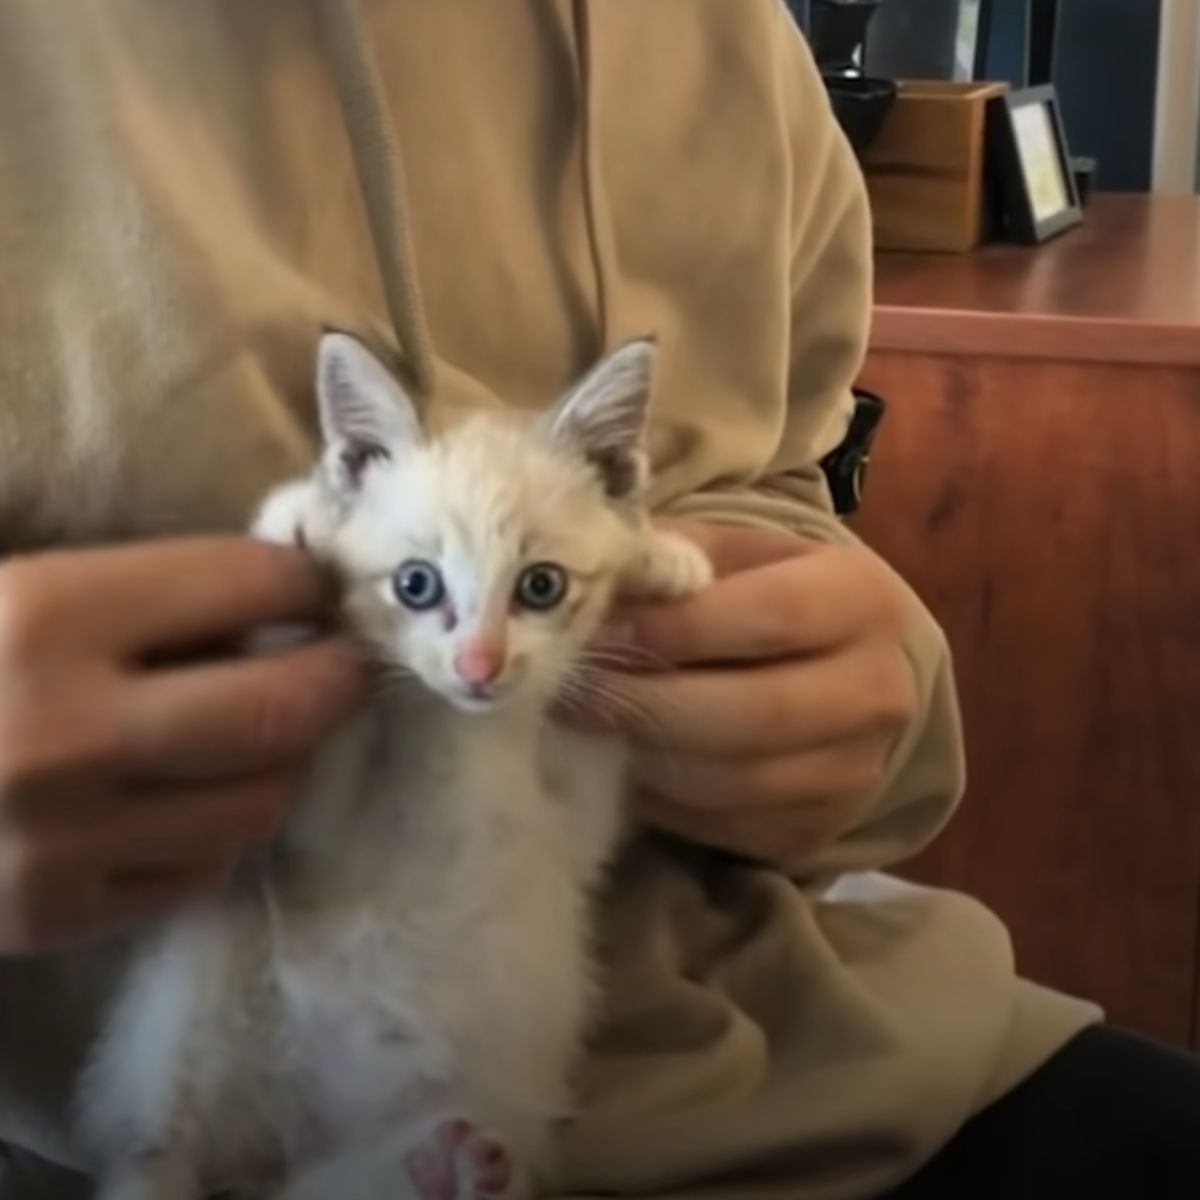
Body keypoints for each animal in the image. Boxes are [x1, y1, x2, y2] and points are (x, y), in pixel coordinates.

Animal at [82, 331, 710, 1200]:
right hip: (192, 996)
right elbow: (313, 741)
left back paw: (445, 1165)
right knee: (154, 1152)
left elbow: (592, 747)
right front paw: (303, 521)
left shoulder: (569, 825)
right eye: (417, 585)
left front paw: (660, 559)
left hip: (464, 1097)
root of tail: (281, 1144)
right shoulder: (316, 838)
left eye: (541, 586)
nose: (479, 667)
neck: (464, 739)